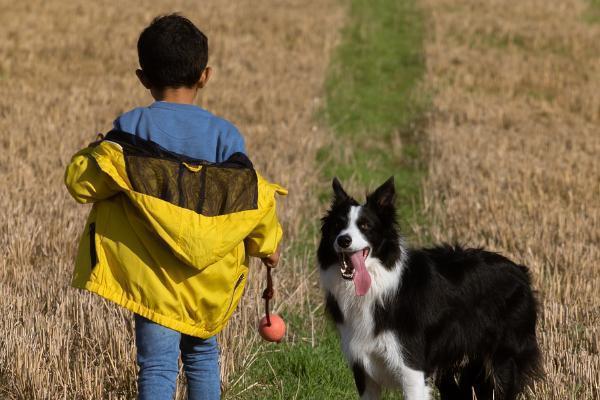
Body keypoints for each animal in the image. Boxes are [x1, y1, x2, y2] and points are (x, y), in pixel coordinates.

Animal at [316, 179, 540, 400]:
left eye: (365, 226)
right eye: (338, 225)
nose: (343, 240)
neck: (378, 285)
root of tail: (520, 271)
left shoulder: (411, 367)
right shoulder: (363, 367)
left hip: (504, 359)